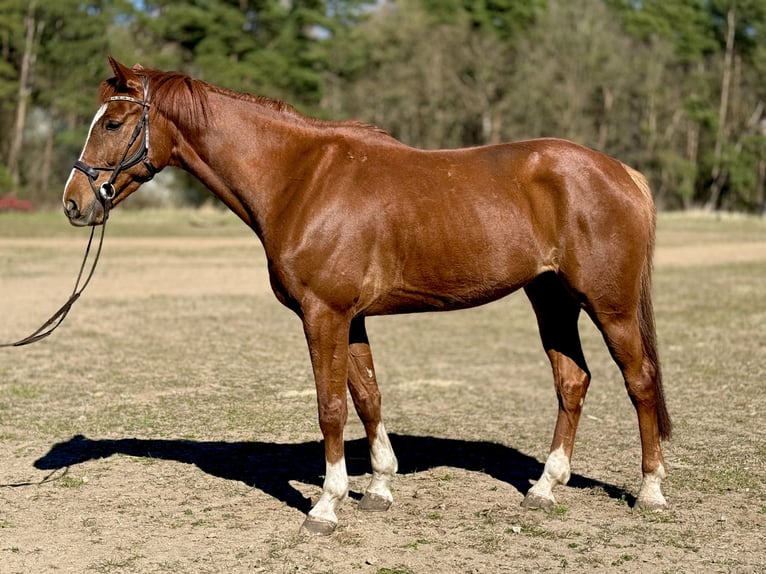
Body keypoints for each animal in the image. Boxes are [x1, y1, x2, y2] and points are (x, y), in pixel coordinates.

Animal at [63, 57, 672, 535]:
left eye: (113, 122)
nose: (74, 203)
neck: (301, 178)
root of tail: (623, 173)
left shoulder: (323, 315)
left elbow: (330, 407)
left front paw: (326, 506)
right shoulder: (350, 318)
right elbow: (367, 395)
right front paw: (378, 487)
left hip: (610, 306)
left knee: (639, 382)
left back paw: (650, 492)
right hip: (551, 299)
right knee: (572, 381)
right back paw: (545, 487)